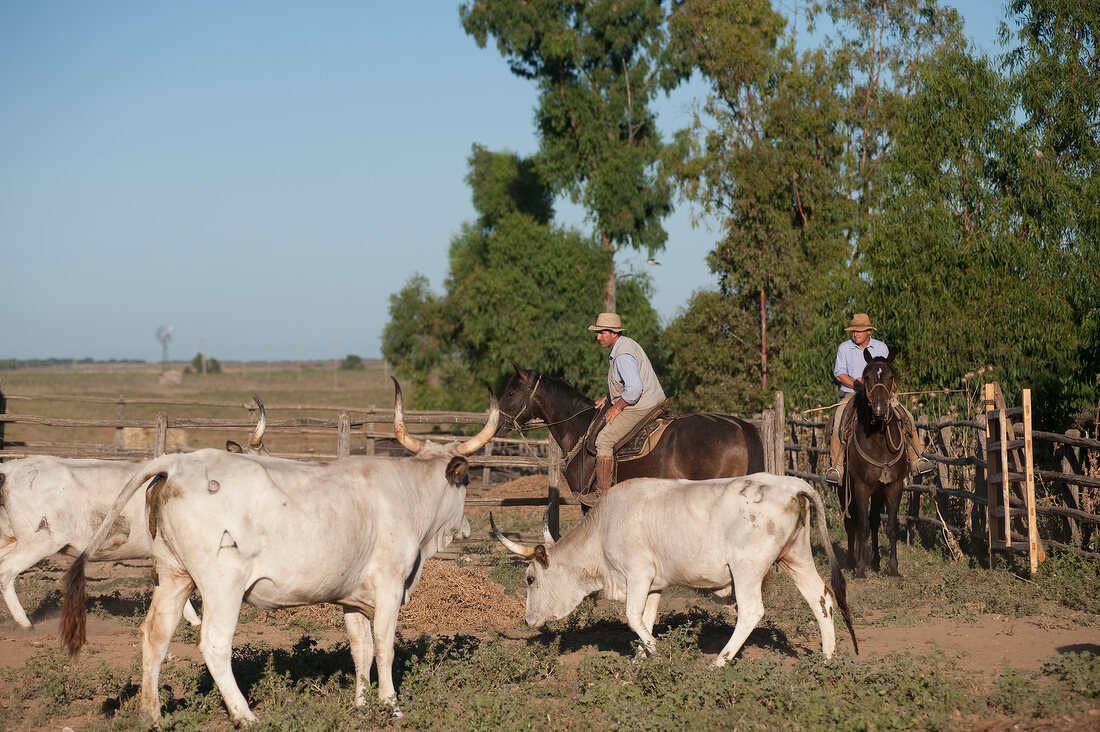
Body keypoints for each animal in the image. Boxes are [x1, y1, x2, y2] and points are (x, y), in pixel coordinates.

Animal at [62, 378, 501, 722]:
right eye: (464, 483)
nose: (466, 526)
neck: (407, 492)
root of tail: (176, 463)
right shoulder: (391, 586)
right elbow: (383, 646)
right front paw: (390, 705)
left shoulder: (353, 598)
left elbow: (360, 650)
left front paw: (362, 705)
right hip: (223, 587)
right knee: (214, 643)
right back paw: (244, 715)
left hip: (173, 577)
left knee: (155, 635)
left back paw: (151, 714)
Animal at [492, 471, 858, 664]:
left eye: (529, 579)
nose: (527, 620)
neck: (602, 529)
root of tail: (789, 483)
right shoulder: (653, 584)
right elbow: (646, 618)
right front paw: (641, 658)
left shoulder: (637, 575)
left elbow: (632, 617)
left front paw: (657, 652)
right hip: (796, 557)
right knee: (821, 597)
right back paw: (826, 656)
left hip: (747, 569)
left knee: (752, 611)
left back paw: (719, 661)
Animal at [836, 350, 906, 576]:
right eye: (866, 377)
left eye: (890, 377)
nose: (879, 409)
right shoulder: (860, 487)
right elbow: (862, 527)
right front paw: (859, 570)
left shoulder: (894, 486)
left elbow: (890, 527)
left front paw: (894, 569)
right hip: (844, 489)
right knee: (852, 522)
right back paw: (852, 561)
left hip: (878, 492)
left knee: (874, 521)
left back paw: (874, 561)